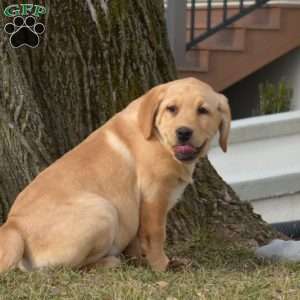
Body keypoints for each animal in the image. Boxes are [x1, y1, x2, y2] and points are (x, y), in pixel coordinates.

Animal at [0, 77, 231, 272]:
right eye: (171, 109)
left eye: (203, 110)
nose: (183, 132)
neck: (158, 138)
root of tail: (13, 225)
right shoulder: (154, 196)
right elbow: (155, 234)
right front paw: (162, 266)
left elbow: (138, 239)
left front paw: (142, 261)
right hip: (103, 209)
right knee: (72, 268)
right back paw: (110, 262)